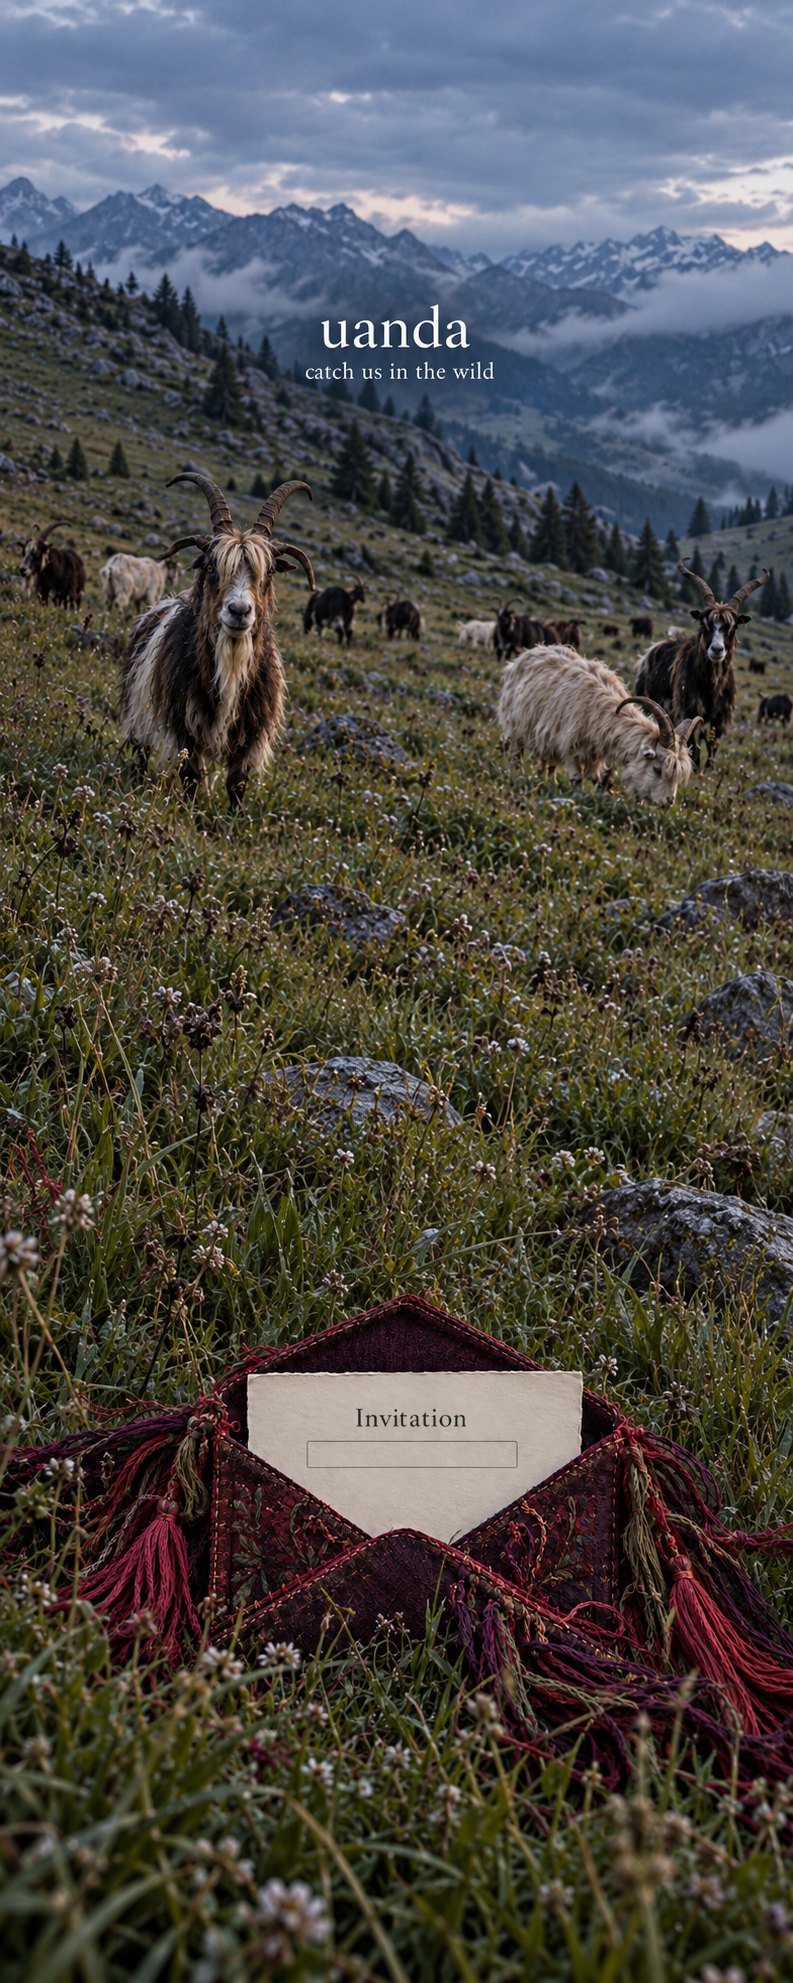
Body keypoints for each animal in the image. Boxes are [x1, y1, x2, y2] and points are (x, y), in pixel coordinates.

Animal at [120, 471, 314, 810]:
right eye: (211, 566)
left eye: (269, 572)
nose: (239, 611)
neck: (231, 663)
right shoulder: (184, 723)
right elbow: (191, 775)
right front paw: (188, 813)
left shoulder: (252, 732)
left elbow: (237, 782)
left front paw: (233, 819)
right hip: (139, 710)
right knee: (140, 750)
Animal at [497, 644, 700, 805]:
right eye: (657, 769)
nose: (668, 802)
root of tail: (528, 653)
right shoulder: (569, 747)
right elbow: (577, 779)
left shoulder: (596, 754)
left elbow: (596, 779)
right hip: (514, 727)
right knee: (515, 756)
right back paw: (517, 777)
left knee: (549, 763)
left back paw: (549, 782)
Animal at [634, 564, 769, 766]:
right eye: (705, 624)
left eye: (732, 627)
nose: (717, 649)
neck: (711, 688)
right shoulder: (688, 712)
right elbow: (694, 751)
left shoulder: (719, 720)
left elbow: (712, 751)